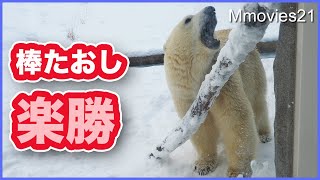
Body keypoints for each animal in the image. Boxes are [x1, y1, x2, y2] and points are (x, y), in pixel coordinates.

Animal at [164, 5, 272, 177]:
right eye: (188, 19)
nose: (211, 8)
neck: (197, 78)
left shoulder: (224, 86)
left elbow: (236, 118)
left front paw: (237, 171)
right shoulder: (186, 96)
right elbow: (201, 128)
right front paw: (203, 165)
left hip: (253, 71)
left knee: (258, 102)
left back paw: (264, 134)